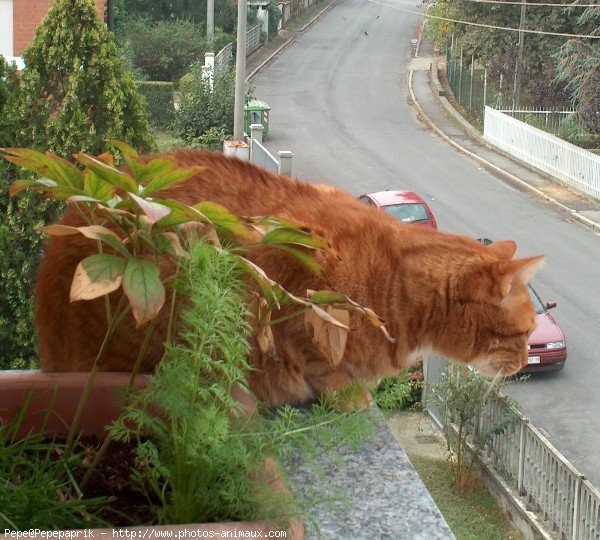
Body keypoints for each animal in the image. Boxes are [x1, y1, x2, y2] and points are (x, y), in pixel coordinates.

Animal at [36, 150, 544, 402]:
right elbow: (325, 370)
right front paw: (350, 396)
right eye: (523, 333)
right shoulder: (293, 289)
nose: (526, 361)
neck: (396, 283)